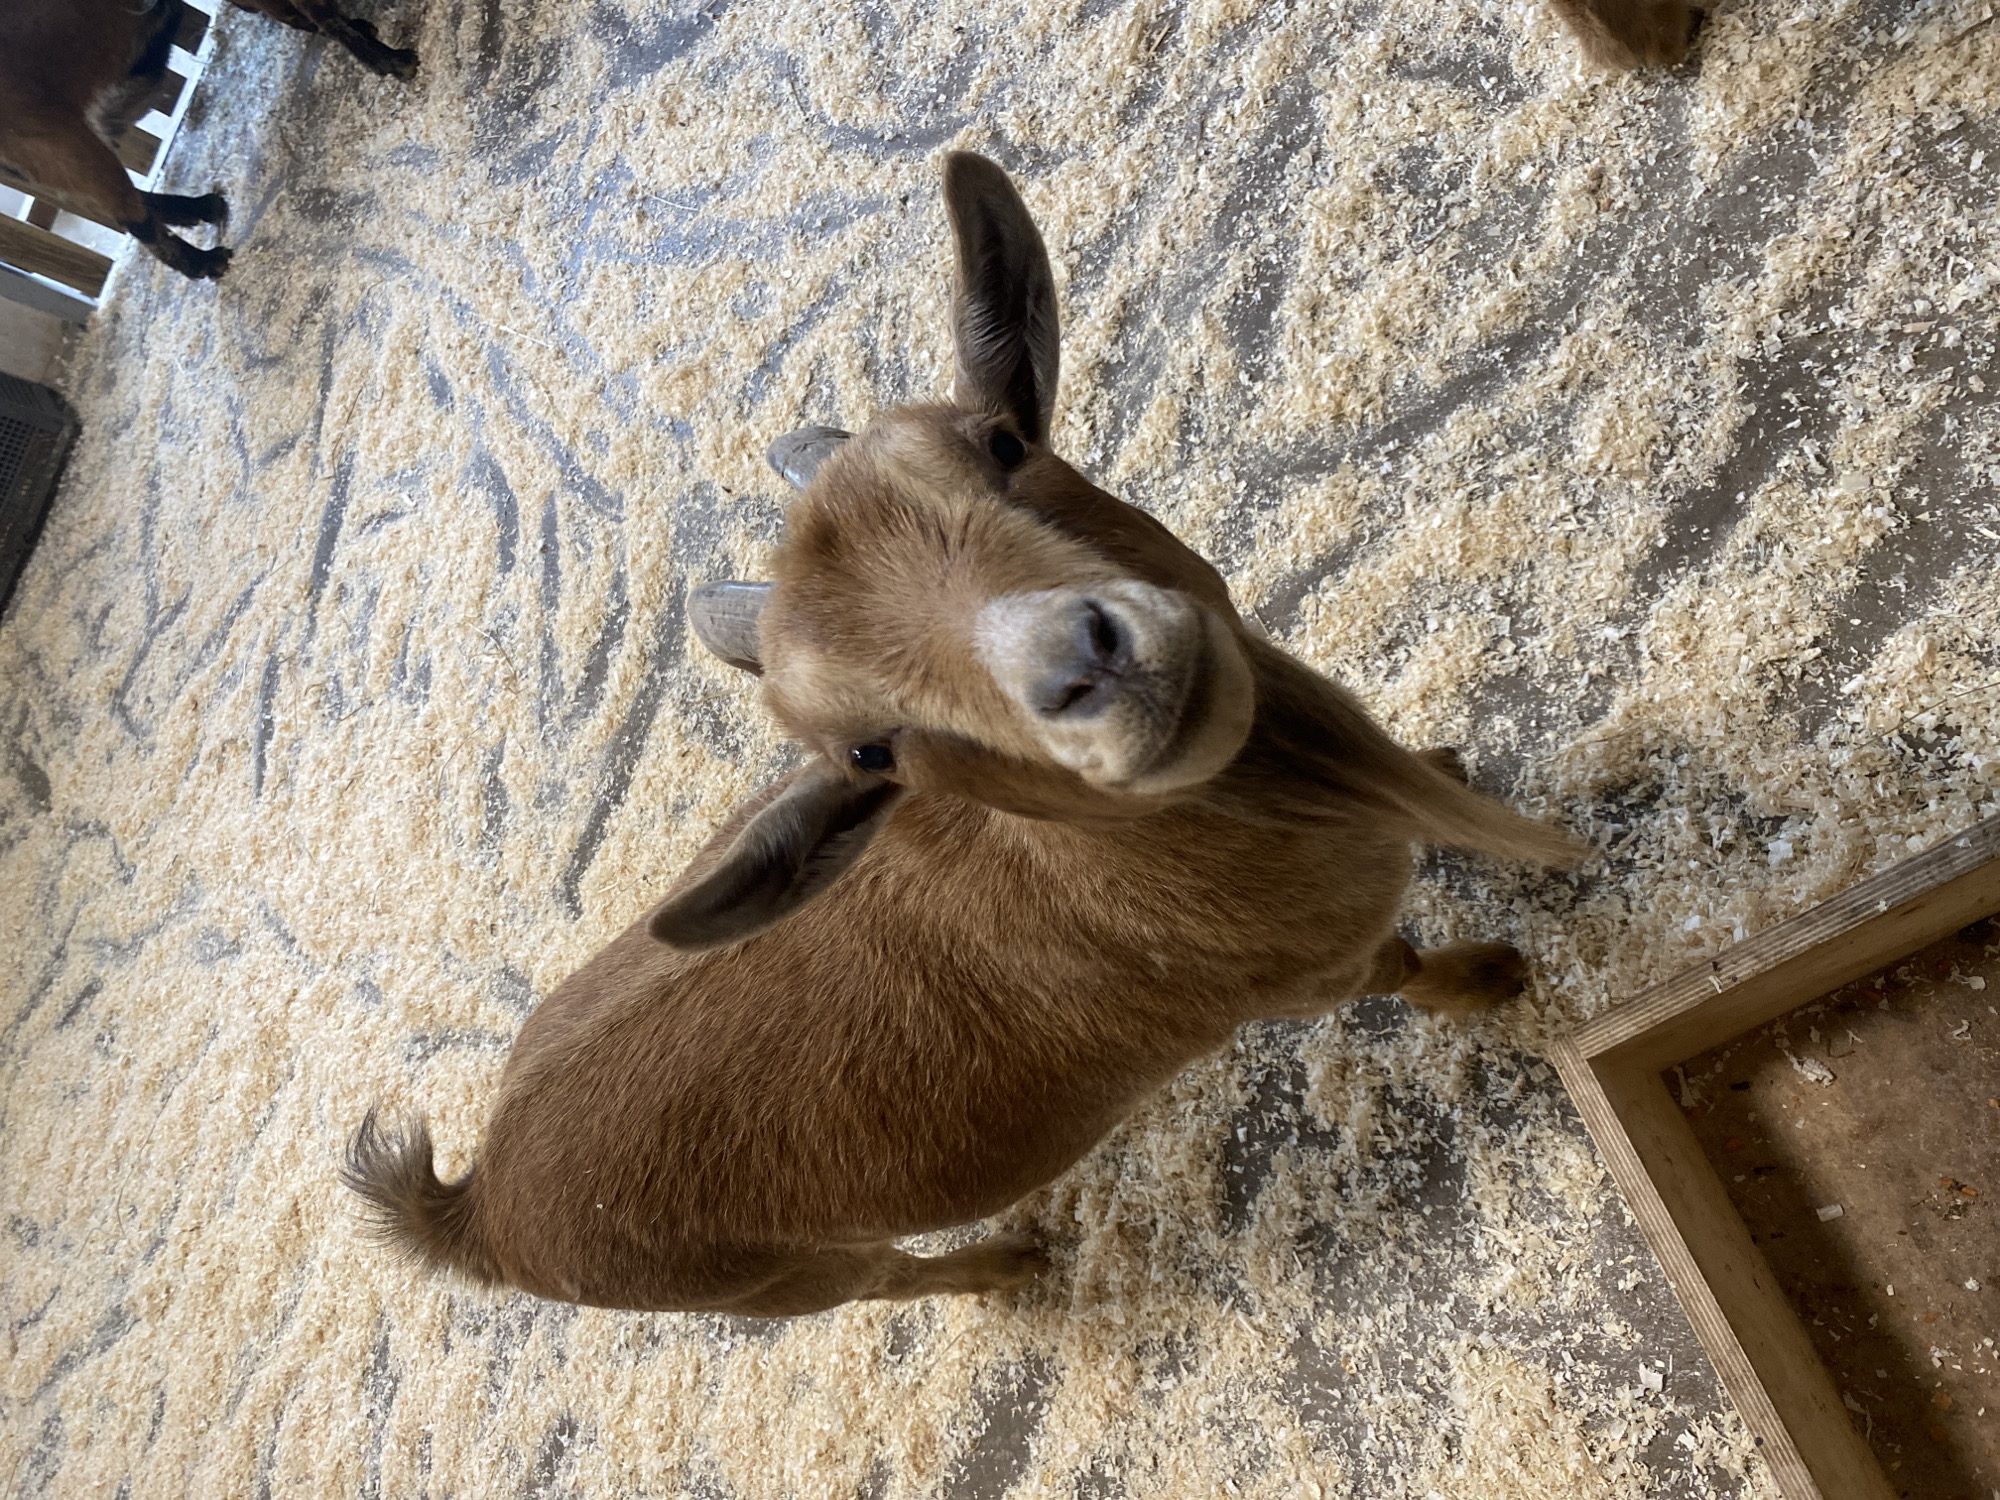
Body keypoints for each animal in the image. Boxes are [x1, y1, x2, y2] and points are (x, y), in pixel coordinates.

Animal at [0, 0, 414, 283]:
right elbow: (321, 17)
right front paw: (386, 58)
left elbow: (305, 16)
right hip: (67, 143)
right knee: (136, 221)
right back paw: (203, 260)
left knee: (133, 203)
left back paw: (199, 208)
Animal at [345, 152, 1579, 1319]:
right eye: (868, 749)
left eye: (1001, 445)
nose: (1084, 666)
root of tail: (480, 1208)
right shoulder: (1315, 974)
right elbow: (1406, 969)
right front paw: (1495, 976)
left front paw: (1452, 768)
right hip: (783, 1280)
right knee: (885, 1280)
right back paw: (1011, 1262)